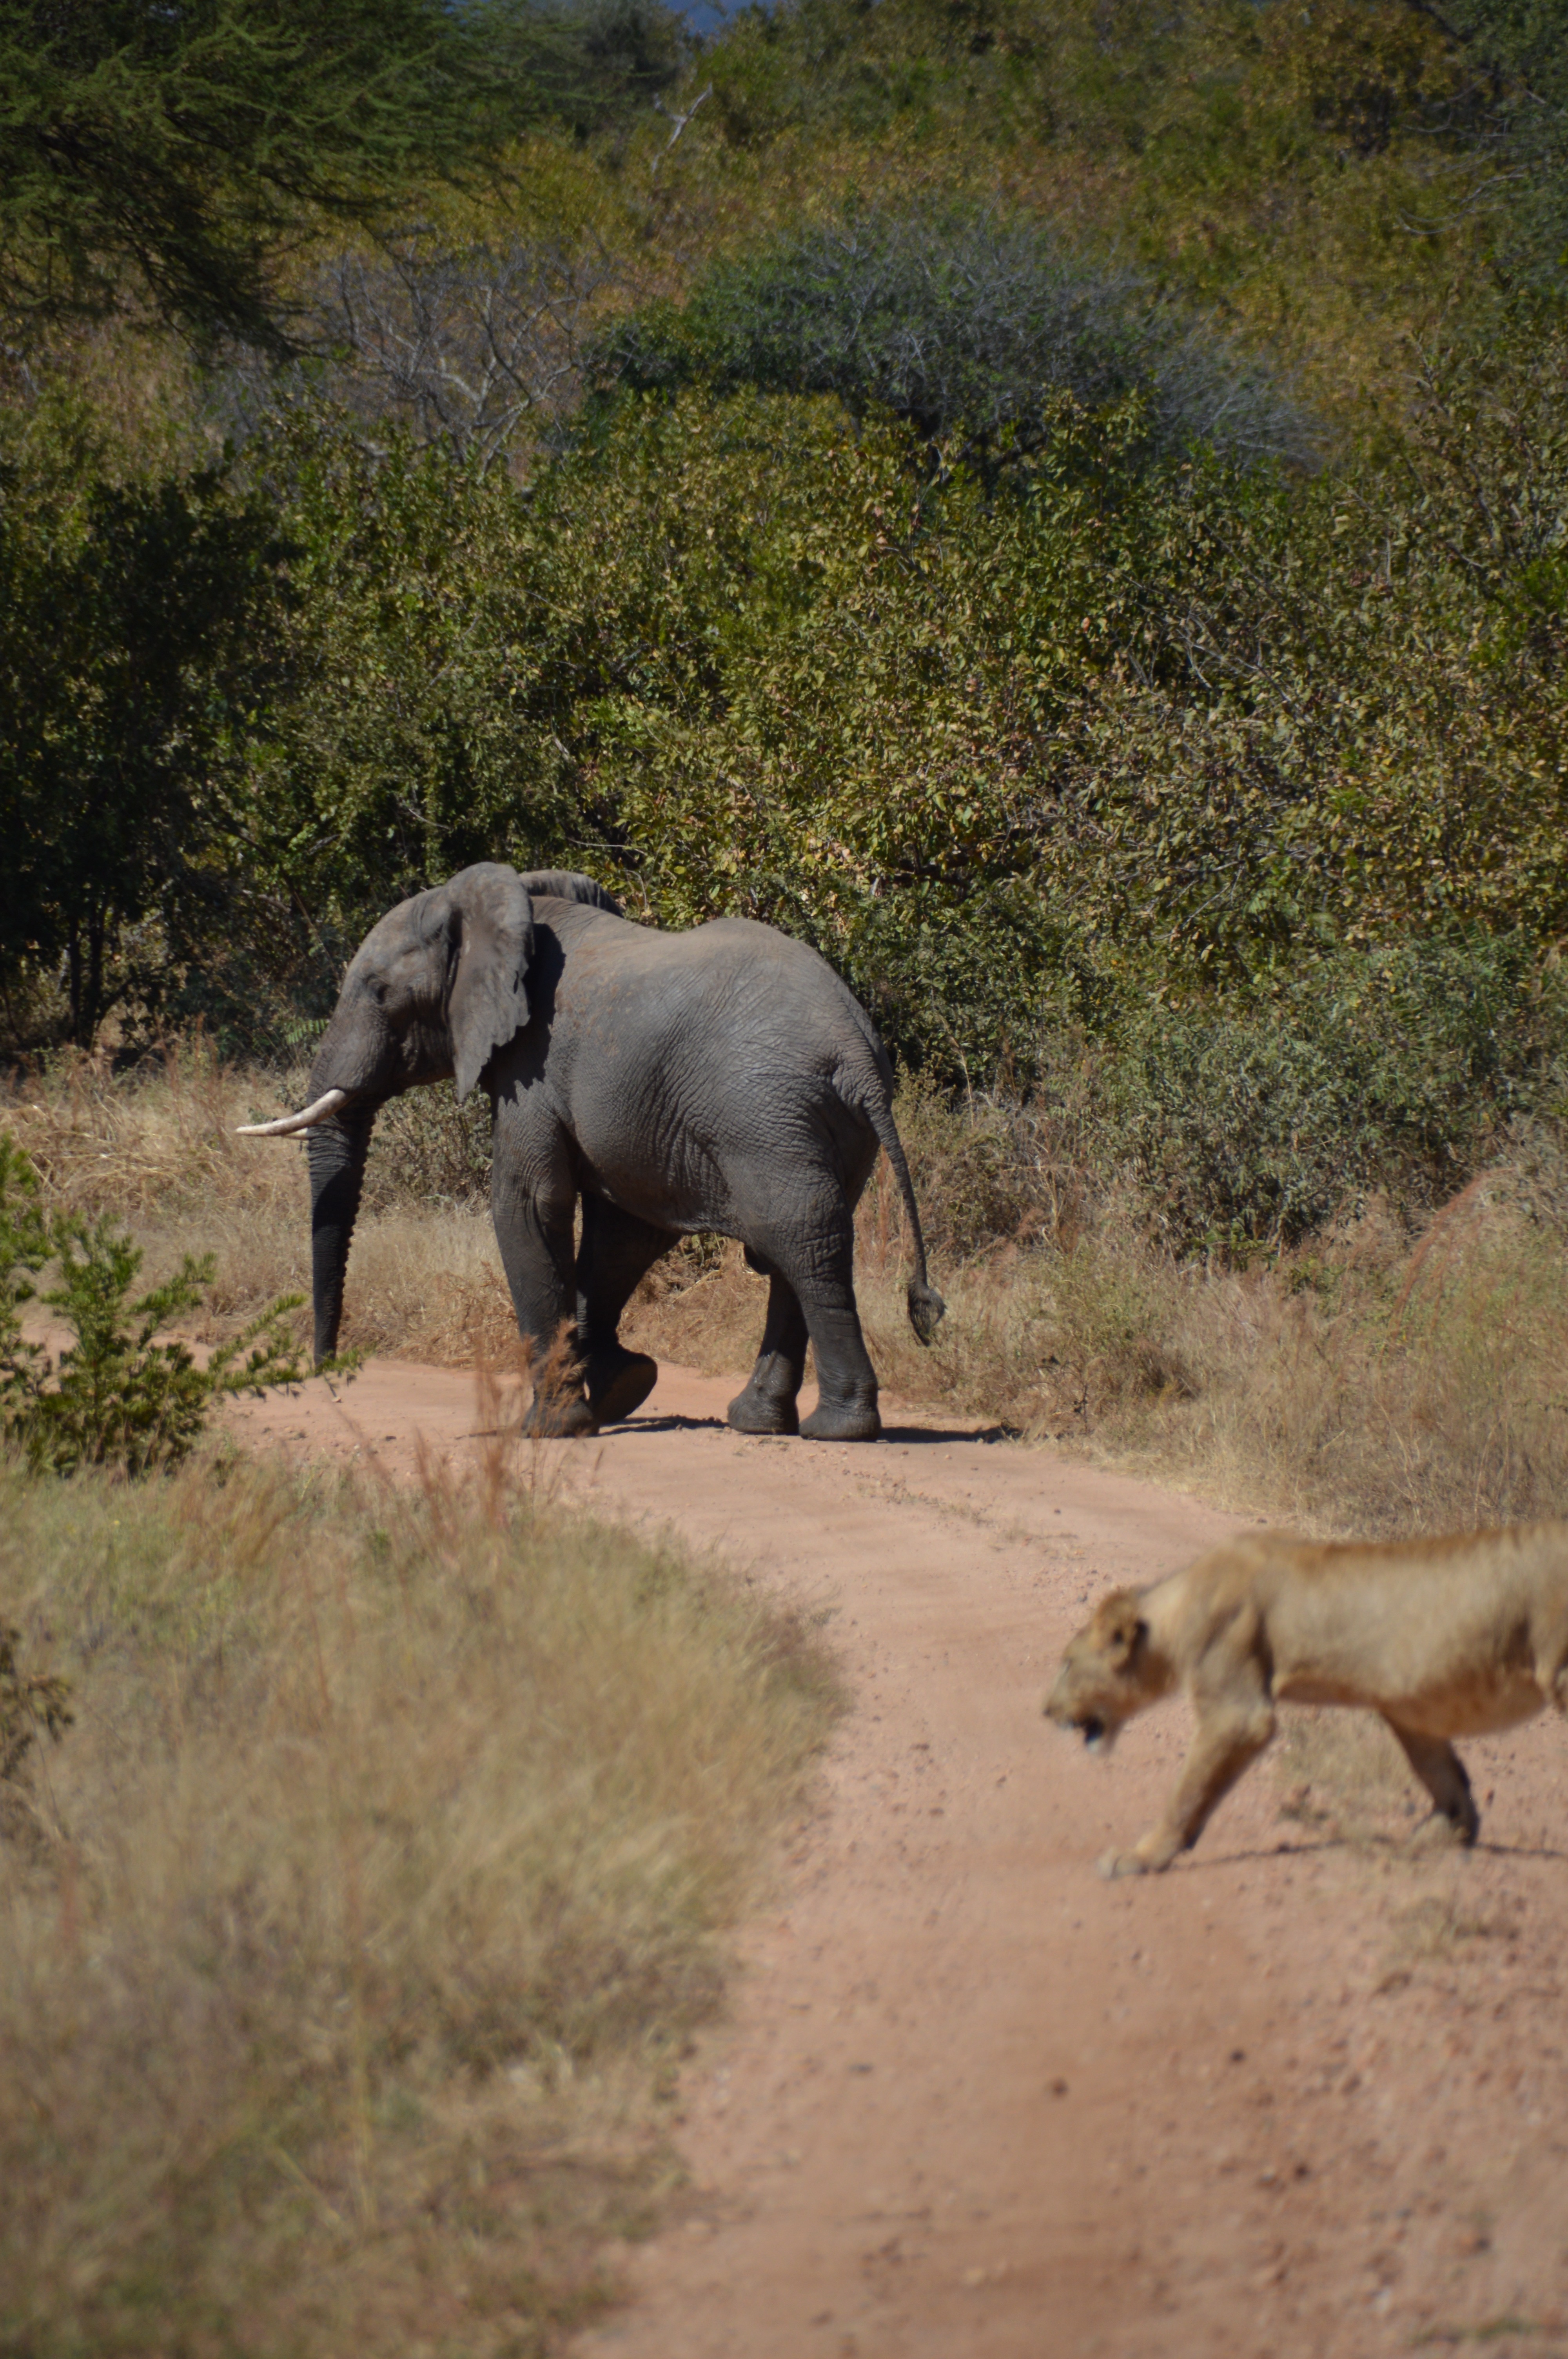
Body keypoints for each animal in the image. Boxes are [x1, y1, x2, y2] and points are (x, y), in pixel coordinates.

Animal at [240, 863, 945, 1441]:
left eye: (378, 991)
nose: (331, 1378)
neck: (511, 904)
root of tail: (856, 1052)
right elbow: (624, 1234)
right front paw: (623, 1389)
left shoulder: (533, 1063)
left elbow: (528, 1207)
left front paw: (551, 1429)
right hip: (820, 1128)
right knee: (797, 1246)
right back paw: (758, 1422)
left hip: (766, 1116)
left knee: (801, 1242)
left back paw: (840, 1429)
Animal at [1044, 1522, 1568, 1877]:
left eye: (1067, 1663)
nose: (1044, 1710)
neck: (1177, 1610)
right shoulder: (1404, 1703)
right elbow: (1446, 1776)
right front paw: (1442, 1837)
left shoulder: (1238, 1712)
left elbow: (1187, 1792)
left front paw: (1139, 1857)